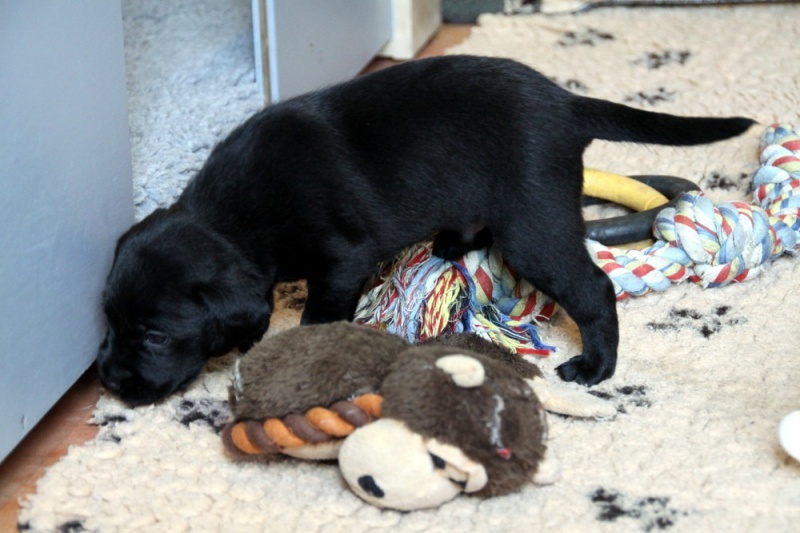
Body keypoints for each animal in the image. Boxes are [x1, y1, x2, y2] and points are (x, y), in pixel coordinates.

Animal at [97, 55, 753, 405]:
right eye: (108, 322)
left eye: (155, 335)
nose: (108, 380)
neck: (234, 218)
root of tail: (565, 103)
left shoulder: (342, 257)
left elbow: (318, 313)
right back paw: (452, 241)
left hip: (533, 223)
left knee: (593, 288)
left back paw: (596, 367)